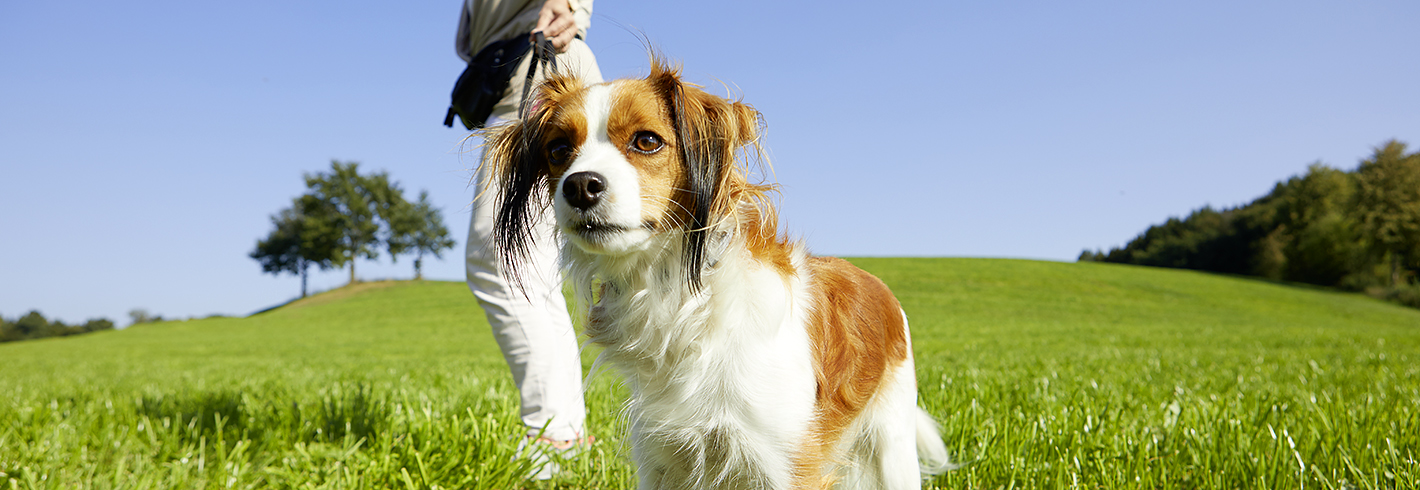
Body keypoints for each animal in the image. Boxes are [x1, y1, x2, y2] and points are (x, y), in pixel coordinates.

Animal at [479, 59, 954, 485]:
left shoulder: (787, 463)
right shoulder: (661, 461)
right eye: (559, 150)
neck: (684, 300)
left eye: (646, 141)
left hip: (893, 448)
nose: (579, 186)